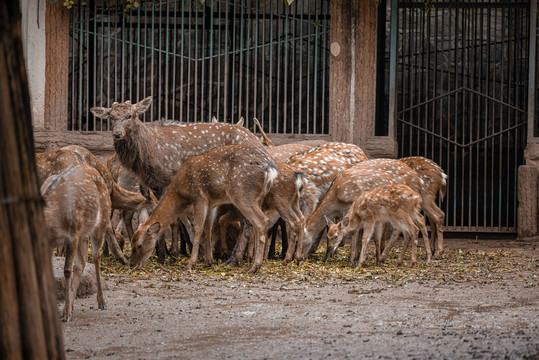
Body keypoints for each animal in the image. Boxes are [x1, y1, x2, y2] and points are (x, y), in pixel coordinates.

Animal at [41, 165, 112, 322]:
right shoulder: (49, 243)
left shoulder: (72, 235)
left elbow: (67, 270)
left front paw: (66, 314)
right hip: (82, 233)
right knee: (81, 263)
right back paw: (71, 307)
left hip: (101, 222)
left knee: (95, 257)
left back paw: (102, 302)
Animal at [131, 143, 278, 272]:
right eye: (131, 241)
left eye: (139, 245)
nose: (133, 264)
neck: (181, 192)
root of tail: (270, 168)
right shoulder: (211, 203)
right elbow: (208, 229)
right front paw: (208, 261)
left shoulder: (199, 198)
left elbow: (197, 229)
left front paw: (191, 264)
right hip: (257, 197)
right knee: (258, 224)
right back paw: (253, 263)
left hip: (242, 193)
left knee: (261, 221)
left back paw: (254, 267)